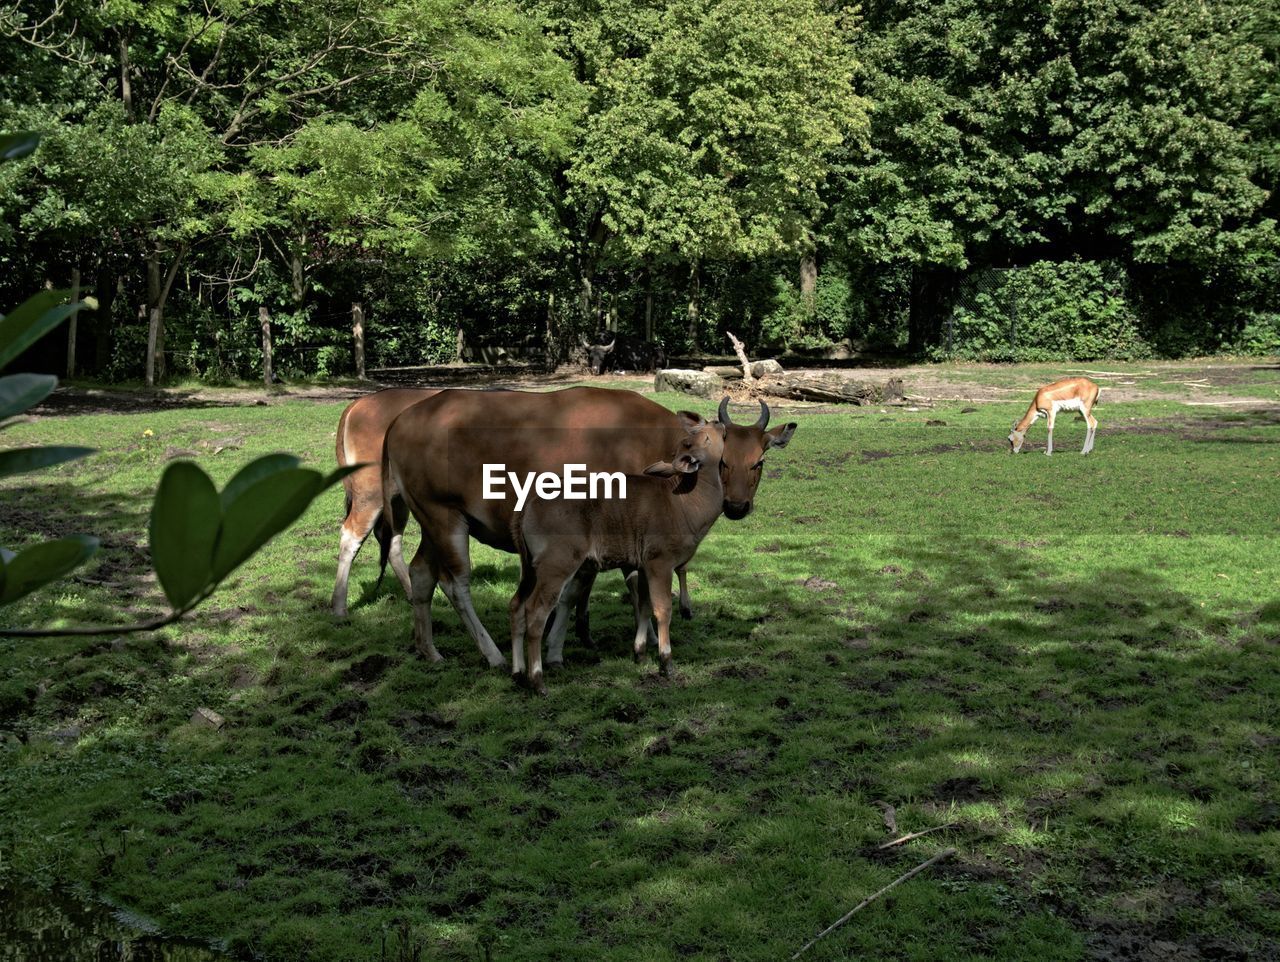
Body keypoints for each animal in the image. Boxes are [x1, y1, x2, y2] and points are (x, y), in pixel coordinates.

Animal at [509, 414, 732, 690]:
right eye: (706, 436)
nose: (718, 422)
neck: (683, 501)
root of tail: (528, 503)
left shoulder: (644, 566)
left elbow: (644, 606)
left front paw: (640, 654)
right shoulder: (660, 563)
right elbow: (663, 609)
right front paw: (666, 663)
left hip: (530, 568)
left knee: (516, 607)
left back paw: (518, 672)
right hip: (556, 566)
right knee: (536, 612)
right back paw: (537, 680)